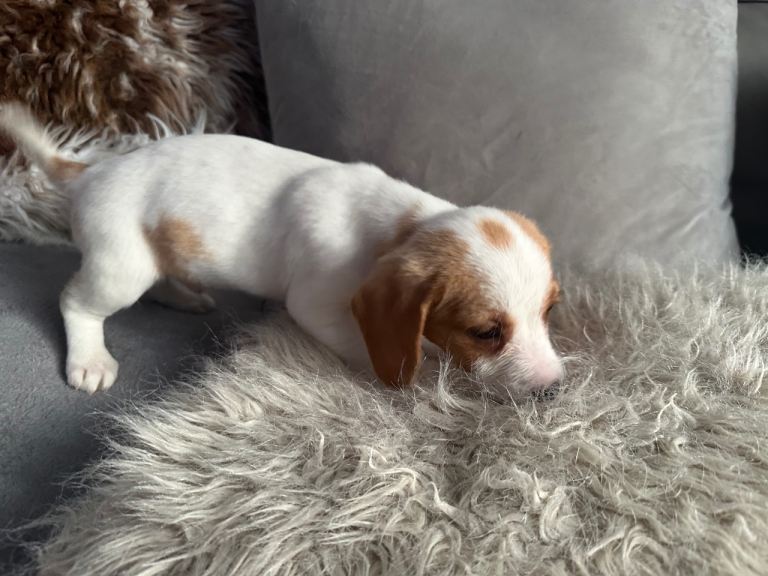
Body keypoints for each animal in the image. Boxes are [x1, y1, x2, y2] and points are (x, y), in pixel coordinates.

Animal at [0, 103, 563, 397]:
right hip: (119, 266)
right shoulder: (319, 307)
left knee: (161, 279)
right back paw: (90, 357)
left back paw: (184, 297)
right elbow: (371, 350)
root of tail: (89, 172)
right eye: (486, 333)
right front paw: (416, 378)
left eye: (549, 312)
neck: (399, 224)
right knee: (76, 302)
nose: (554, 388)